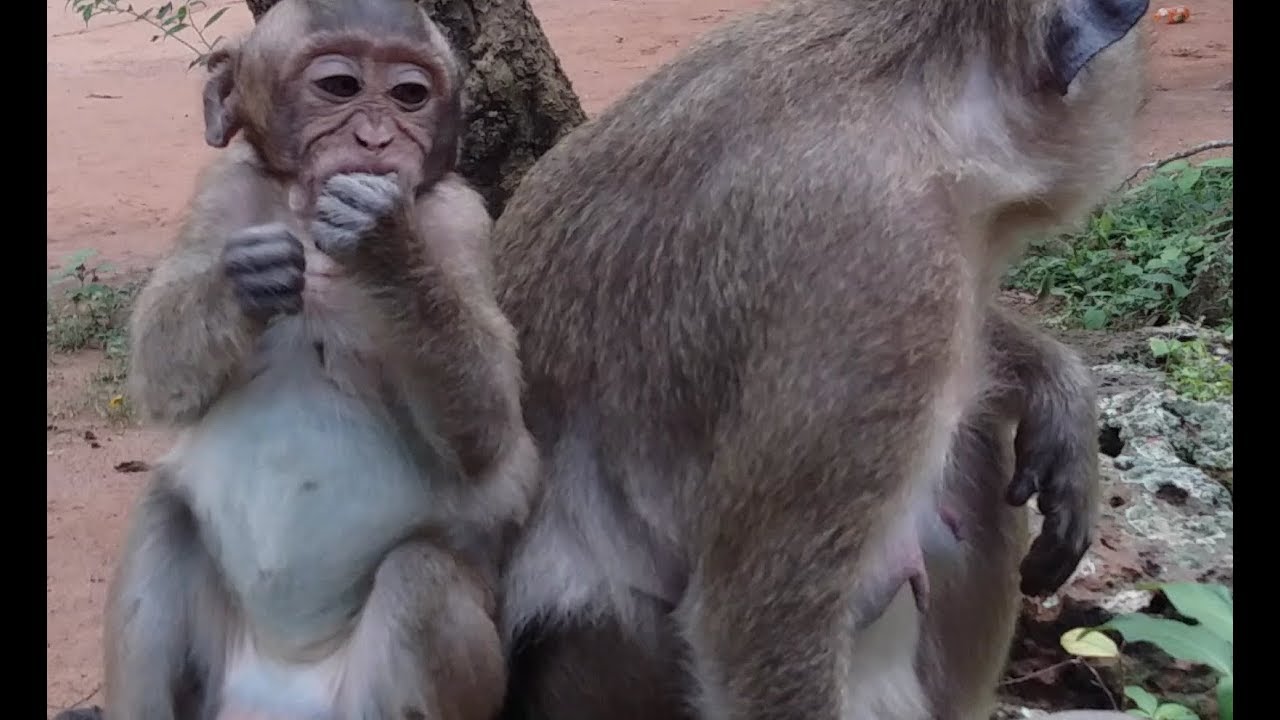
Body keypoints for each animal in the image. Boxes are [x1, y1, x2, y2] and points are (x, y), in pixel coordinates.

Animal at [54, 1, 537, 719]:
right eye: (339, 86)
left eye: (409, 96)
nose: (376, 139)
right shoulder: (222, 187)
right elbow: (160, 378)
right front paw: (243, 281)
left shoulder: (458, 218)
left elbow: (488, 433)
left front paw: (383, 242)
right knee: (167, 515)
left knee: (420, 581)